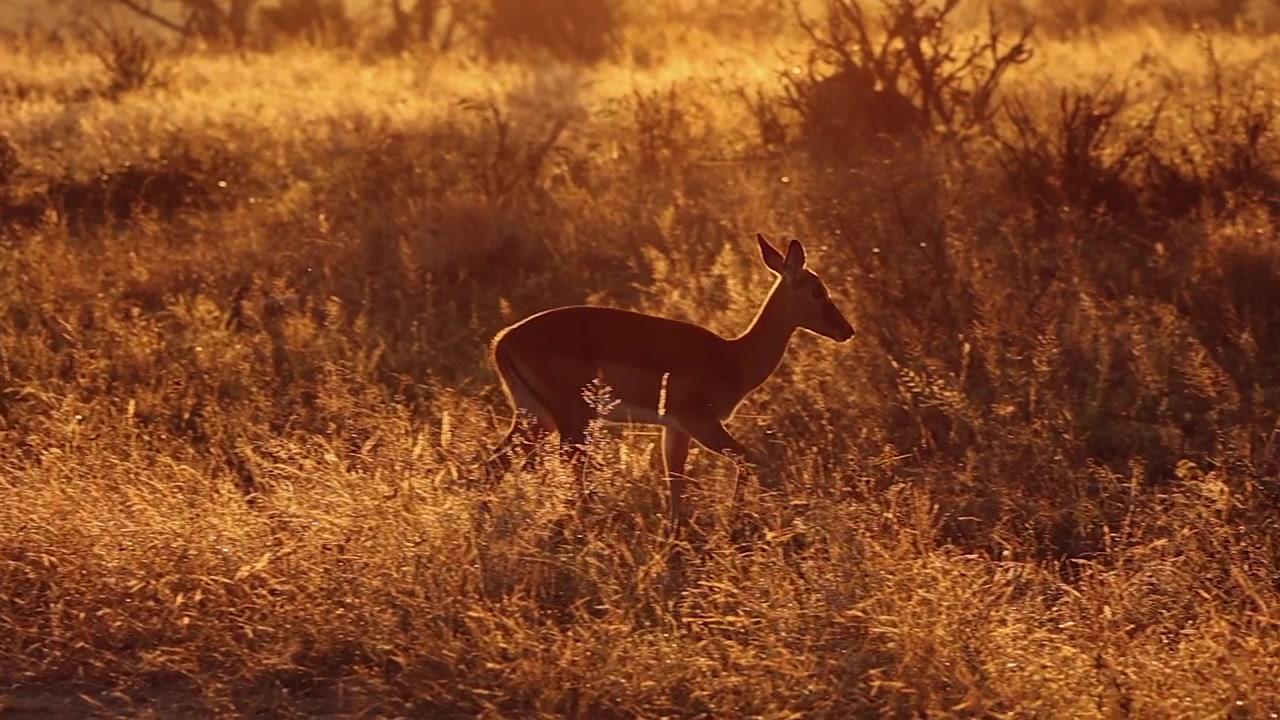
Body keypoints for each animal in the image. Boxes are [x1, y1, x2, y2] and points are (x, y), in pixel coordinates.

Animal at [484, 233, 855, 526]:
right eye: (818, 291)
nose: (847, 331)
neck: (734, 357)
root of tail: (503, 339)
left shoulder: (676, 429)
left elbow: (675, 482)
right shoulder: (699, 421)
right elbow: (745, 458)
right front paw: (732, 521)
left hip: (537, 419)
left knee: (493, 466)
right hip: (572, 423)